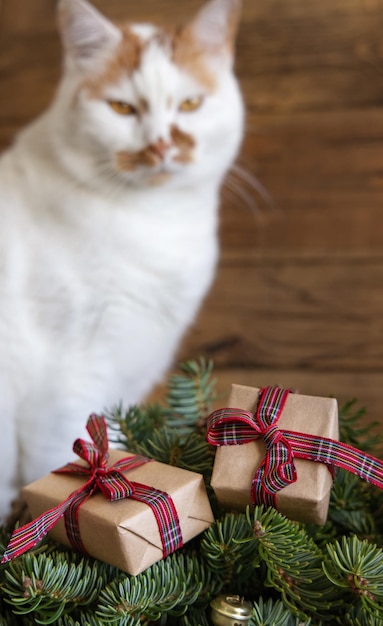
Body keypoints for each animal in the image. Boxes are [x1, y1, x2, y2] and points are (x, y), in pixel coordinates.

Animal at [0, 0, 244, 516]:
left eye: (190, 104)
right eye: (122, 108)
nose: (162, 145)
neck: (157, 220)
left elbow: (111, 436)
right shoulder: (69, 369)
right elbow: (69, 451)